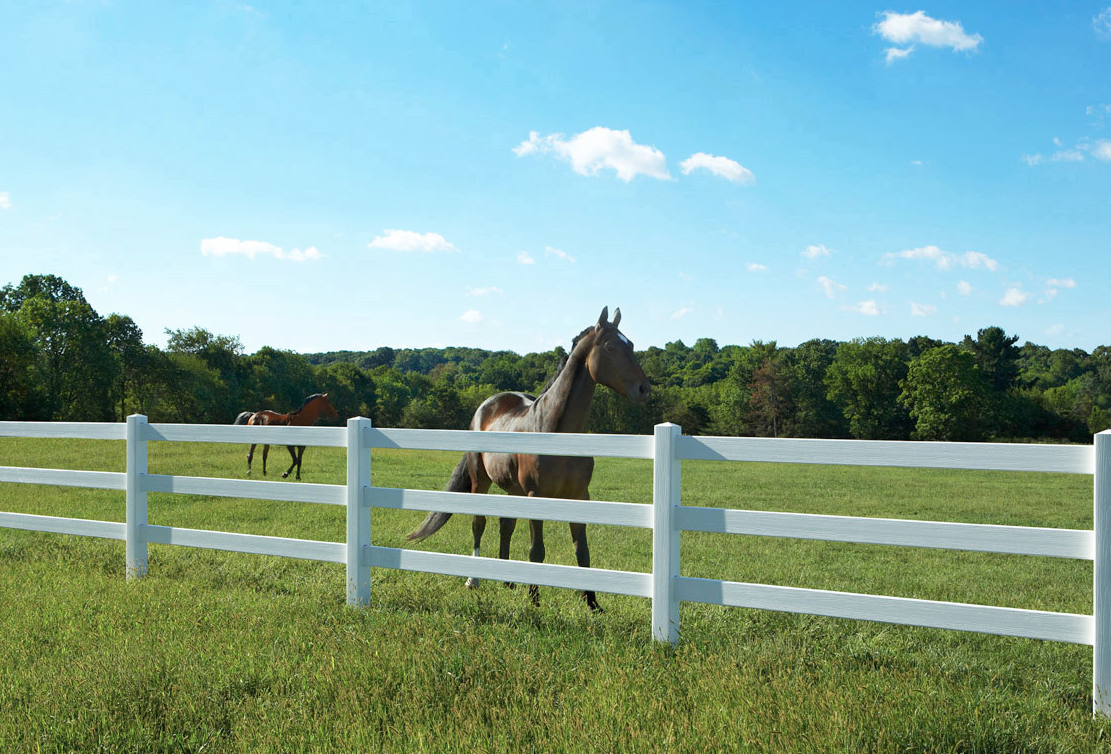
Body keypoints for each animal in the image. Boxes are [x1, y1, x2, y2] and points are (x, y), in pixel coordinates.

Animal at [408, 306, 648, 612]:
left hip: (514, 489)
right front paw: (534, 600)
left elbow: (582, 550)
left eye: (630, 344)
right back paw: (474, 580)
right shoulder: (537, 495)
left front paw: (592, 603)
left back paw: (509, 580)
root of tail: (486, 406)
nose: (643, 389)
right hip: (480, 480)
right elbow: (537, 551)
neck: (553, 429)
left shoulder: (580, 495)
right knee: (479, 523)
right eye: (609, 346)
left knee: (505, 524)